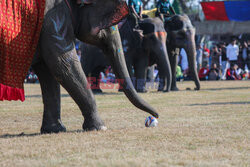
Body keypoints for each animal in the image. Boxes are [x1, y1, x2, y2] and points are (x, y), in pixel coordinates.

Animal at [12, 0, 158, 133]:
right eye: (110, 25)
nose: (155, 116)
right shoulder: (54, 21)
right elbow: (63, 65)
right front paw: (99, 127)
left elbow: (47, 71)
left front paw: (54, 129)